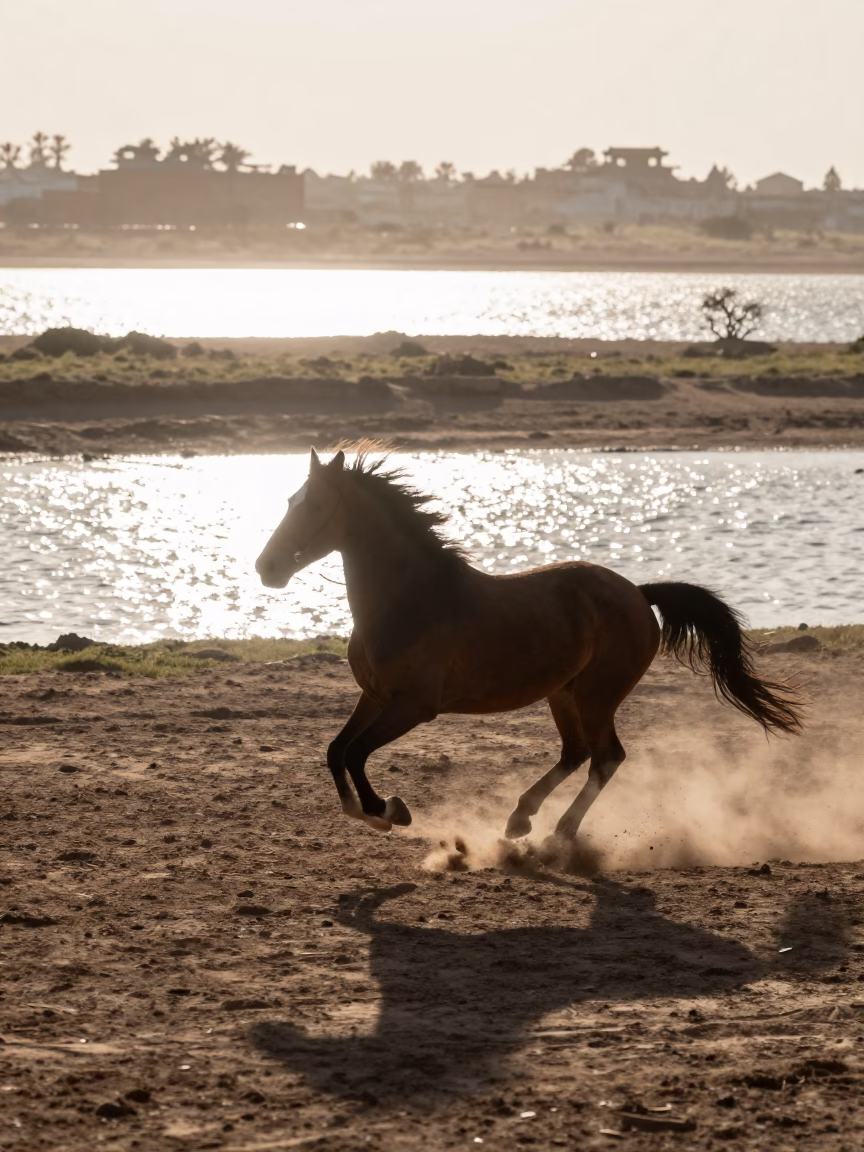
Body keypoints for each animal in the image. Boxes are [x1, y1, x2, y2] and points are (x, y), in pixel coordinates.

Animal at [255, 448, 801, 850]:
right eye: (288, 501)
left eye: (315, 505)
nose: (267, 567)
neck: (412, 600)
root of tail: (638, 593)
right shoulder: (373, 696)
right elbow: (337, 751)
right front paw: (369, 812)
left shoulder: (413, 706)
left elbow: (357, 754)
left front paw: (388, 811)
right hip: (564, 693)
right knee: (577, 752)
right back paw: (520, 819)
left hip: (597, 696)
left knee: (606, 757)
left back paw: (560, 833)